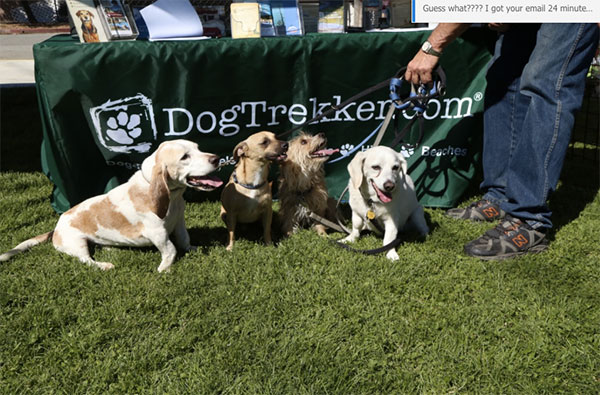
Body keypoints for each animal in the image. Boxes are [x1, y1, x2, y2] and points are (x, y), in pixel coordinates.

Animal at [0, 141, 223, 274]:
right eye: (185, 157)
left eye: (198, 148)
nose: (217, 158)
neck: (173, 197)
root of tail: (56, 228)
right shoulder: (157, 232)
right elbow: (171, 249)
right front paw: (165, 269)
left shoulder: (179, 222)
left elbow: (184, 240)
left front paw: (193, 249)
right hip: (76, 243)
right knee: (86, 260)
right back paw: (104, 265)